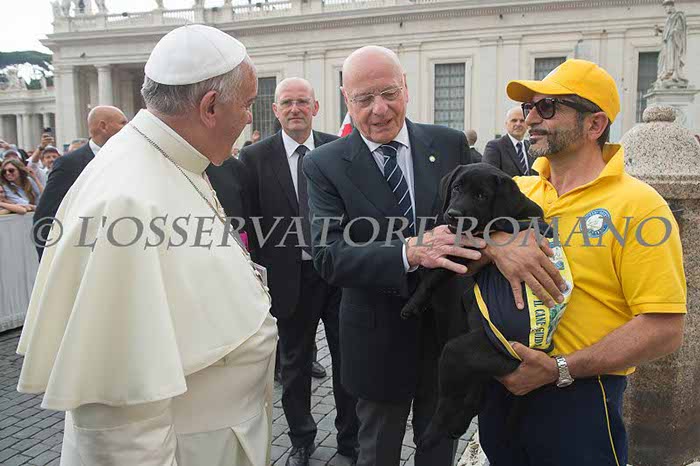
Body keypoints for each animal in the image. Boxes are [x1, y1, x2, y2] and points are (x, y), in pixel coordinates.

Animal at [403, 163, 573, 449]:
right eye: (456, 188)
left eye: (482, 196)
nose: (453, 215)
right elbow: (437, 274)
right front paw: (414, 304)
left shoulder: (472, 246)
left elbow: (436, 273)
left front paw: (413, 302)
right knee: (475, 395)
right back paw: (458, 426)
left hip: (458, 352)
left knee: (448, 401)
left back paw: (431, 435)